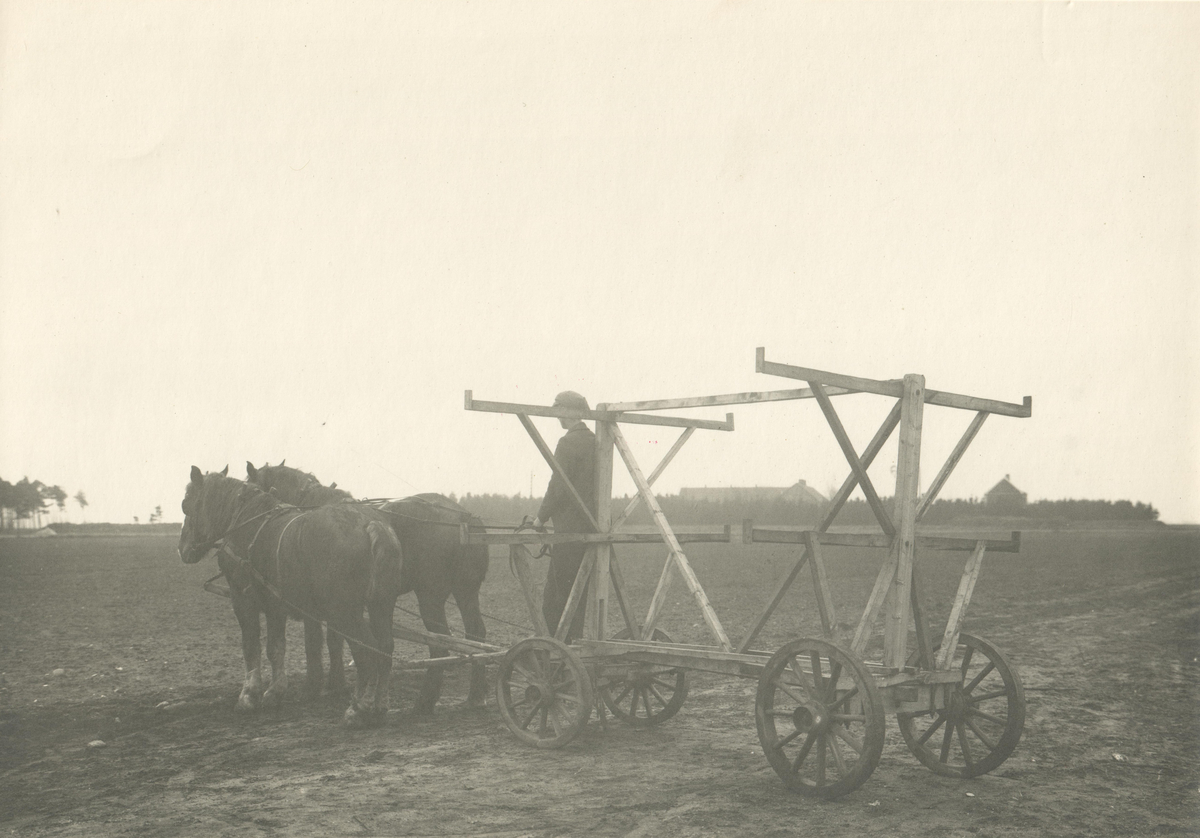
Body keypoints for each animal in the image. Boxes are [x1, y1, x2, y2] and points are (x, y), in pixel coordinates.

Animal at [179, 466, 403, 726]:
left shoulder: (242, 599)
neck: (244, 520)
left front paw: (248, 696)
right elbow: (275, 648)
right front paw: (274, 692)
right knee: (385, 648)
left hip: (345, 612)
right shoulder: (275, 605)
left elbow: (251, 647)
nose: (182, 549)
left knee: (367, 650)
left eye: (186, 504)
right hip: (381, 605)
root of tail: (371, 524)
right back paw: (379, 706)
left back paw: (358, 709)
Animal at [246, 461, 490, 714]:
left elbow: (318, 643)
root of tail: (464, 516)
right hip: (465, 592)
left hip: (430, 596)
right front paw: (336, 684)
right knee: (477, 636)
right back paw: (475, 696)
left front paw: (318, 687)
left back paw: (424, 701)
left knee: (441, 645)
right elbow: (336, 640)